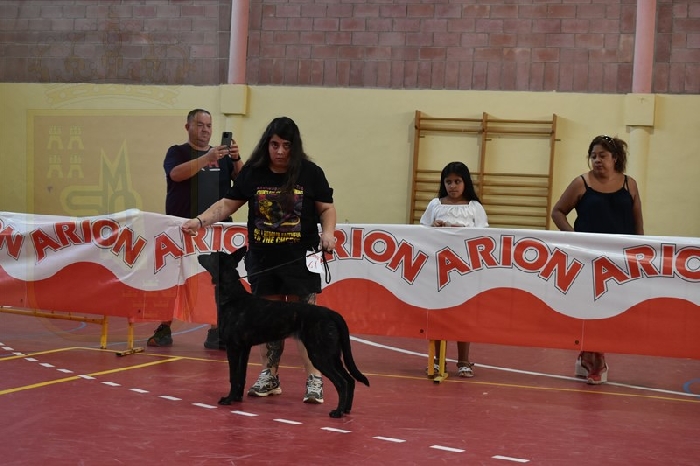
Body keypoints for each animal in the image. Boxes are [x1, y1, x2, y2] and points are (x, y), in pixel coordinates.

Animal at [197, 247, 369, 418]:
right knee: (350, 380)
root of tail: (332, 313)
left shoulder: (233, 348)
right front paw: (237, 398)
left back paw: (338, 412)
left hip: (320, 355)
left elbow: (233, 377)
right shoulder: (244, 349)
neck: (232, 295)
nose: (199, 256)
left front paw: (228, 399)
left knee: (341, 382)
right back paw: (346, 409)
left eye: (211, 256)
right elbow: (241, 377)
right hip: (332, 355)